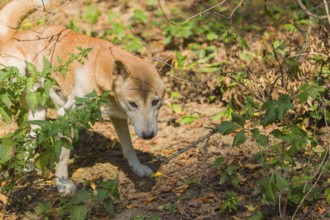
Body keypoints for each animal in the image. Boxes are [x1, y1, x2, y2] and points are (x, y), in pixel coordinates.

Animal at [0, 0, 168, 193]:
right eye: (133, 104)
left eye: (156, 102)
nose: (148, 135)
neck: (98, 72)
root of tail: (11, 36)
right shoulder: (67, 117)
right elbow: (63, 155)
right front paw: (63, 183)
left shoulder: (118, 117)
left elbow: (129, 147)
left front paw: (137, 168)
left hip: (38, 114)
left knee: (29, 140)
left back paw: (27, 167)